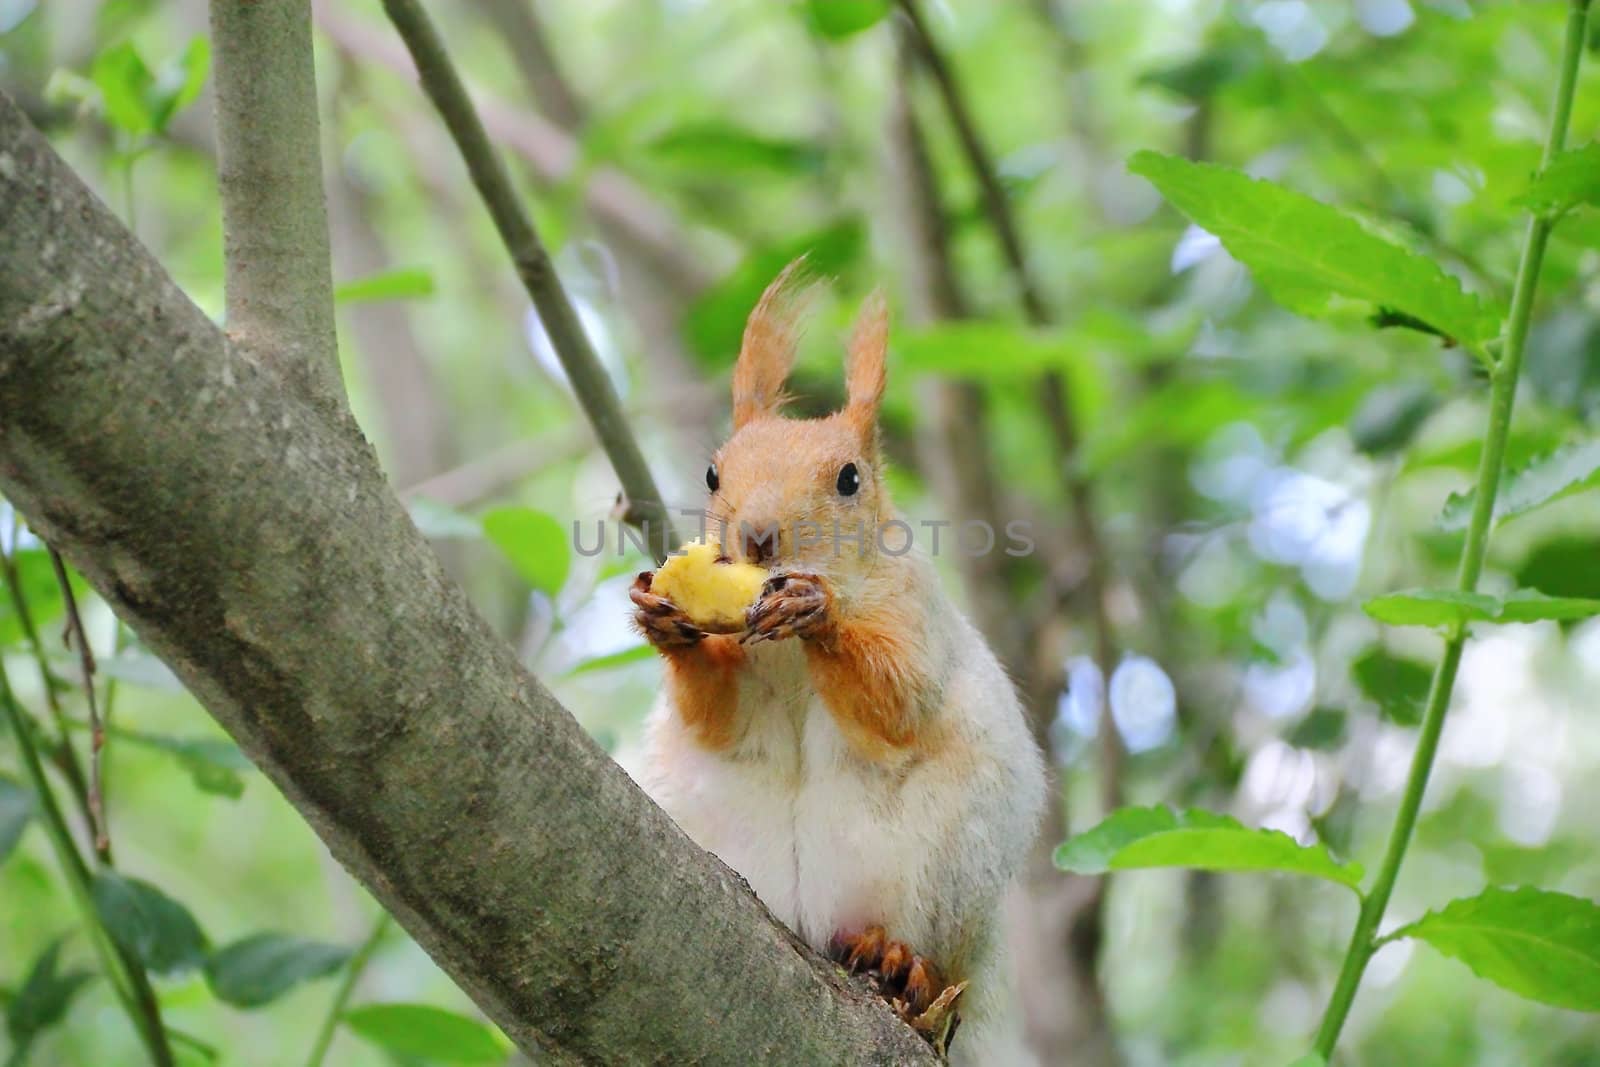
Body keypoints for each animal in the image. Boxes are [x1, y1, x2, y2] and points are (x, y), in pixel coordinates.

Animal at [624, 262, 1049, 1062]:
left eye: (850, 478)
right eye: (712, 474)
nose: (758, 536)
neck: (788, 659)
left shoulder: (917, 616)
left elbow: (897, 704)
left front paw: (816, 610)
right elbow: (718, 721)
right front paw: (666, 622)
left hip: (943, 876)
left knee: (928, 957)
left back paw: (901, 961)